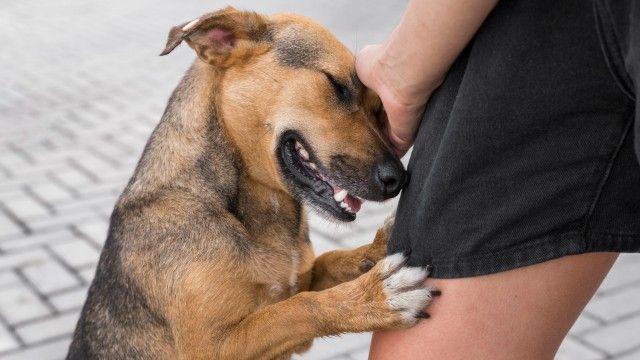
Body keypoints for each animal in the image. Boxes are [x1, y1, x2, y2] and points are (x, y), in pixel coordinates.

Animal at [67, 7, 438, 358]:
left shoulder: (300, 280)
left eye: (378, 109)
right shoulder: (213, 348)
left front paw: (375, 250)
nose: (398, 179)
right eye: (336, 85)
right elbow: (296, 309)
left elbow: (328, 262)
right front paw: (372, 297)